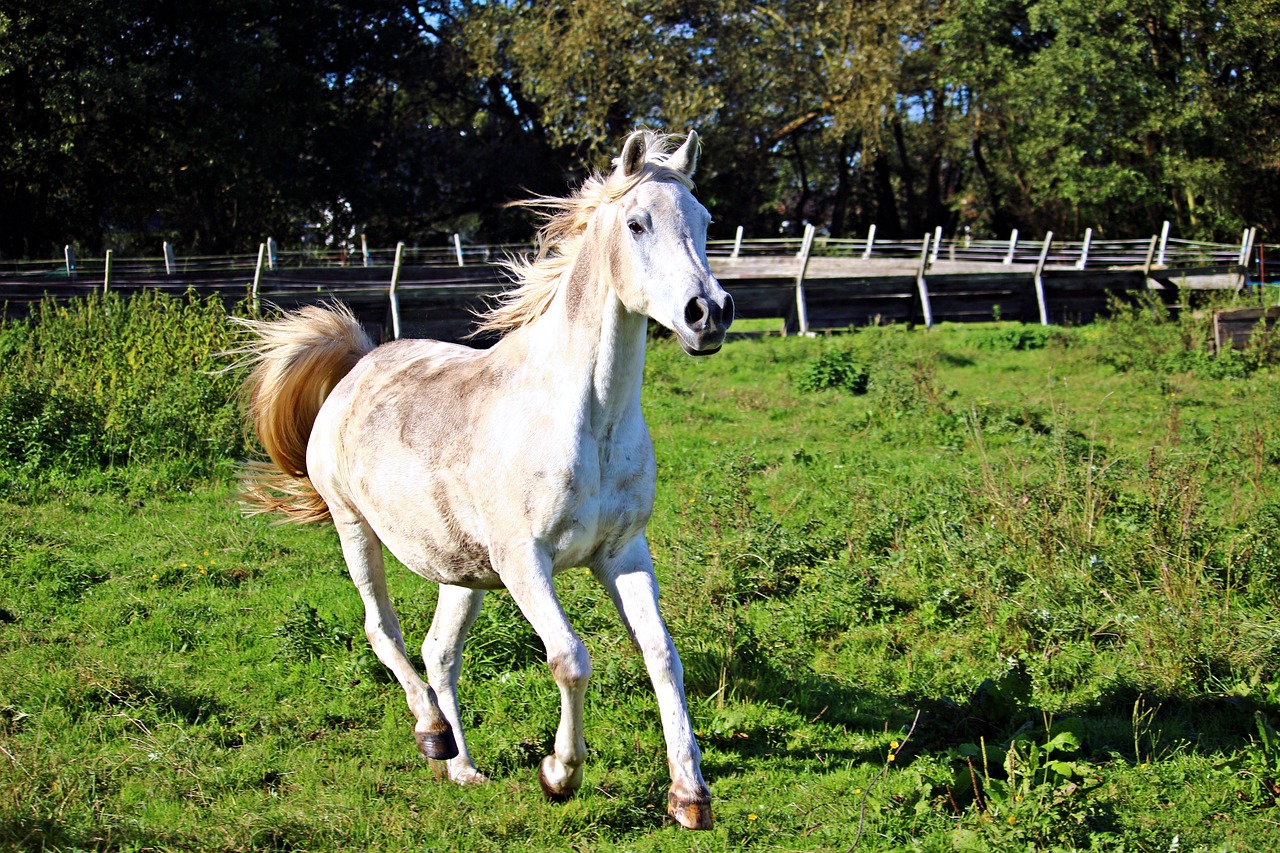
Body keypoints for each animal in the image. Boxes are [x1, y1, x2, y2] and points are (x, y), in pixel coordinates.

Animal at [231, 129, 732, 824]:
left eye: (706, 221)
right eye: (637, 223)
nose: (707, 313)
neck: (587, 418)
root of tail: (359, 363)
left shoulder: (624, 552)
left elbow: (662, 656)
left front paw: (688, 795)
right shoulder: (524, 559)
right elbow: (570, 658)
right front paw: (559, 774)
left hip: (459, 568)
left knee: (440, 652)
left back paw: (462, 768)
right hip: (354, 528)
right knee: (384, 633)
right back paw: (432, 733)